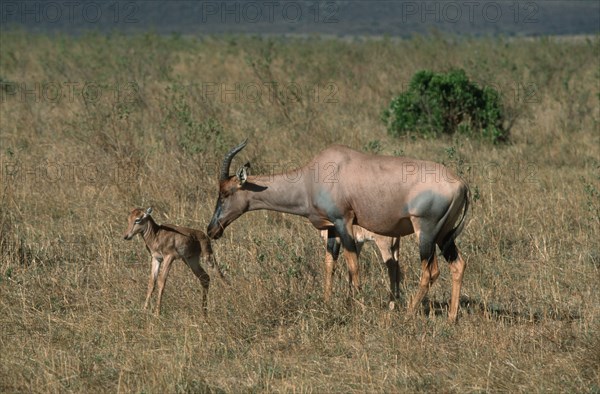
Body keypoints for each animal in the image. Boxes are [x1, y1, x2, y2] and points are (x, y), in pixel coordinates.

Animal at [209, 140, 472, 322]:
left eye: (225, 192)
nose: (212, 230)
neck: (312, 176)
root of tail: (461, 184)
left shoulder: (343, 221)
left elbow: (353, 265)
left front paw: (359, 306)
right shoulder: (332, 228)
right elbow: (330, 264)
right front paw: (328, 303)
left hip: (426, 232)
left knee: (430, 271)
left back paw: (408, 314)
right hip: (444, 235)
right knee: (457, 264)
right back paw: (451, 318)